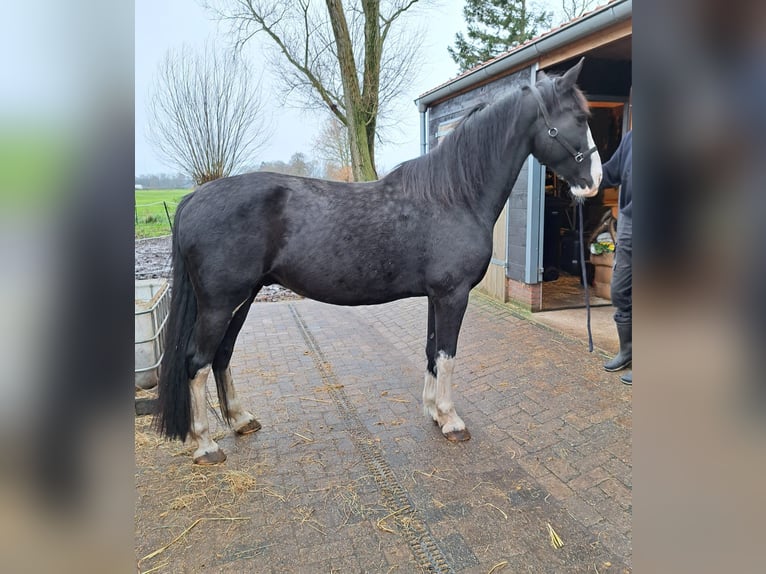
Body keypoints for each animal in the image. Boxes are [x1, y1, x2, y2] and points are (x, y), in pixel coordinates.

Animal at [156, 59, 604, 464]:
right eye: (580, 117)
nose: (595, 182)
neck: (453, 195)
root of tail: (194, 198)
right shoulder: (452, 295)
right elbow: (447, 354)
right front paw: (451, 420)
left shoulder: (437, 296)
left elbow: (431, 350)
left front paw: (433, 412)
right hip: (220, 303)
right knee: (197, 362)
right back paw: (206, 445)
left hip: (243, 298)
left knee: (222, 356)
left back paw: (241, 420)